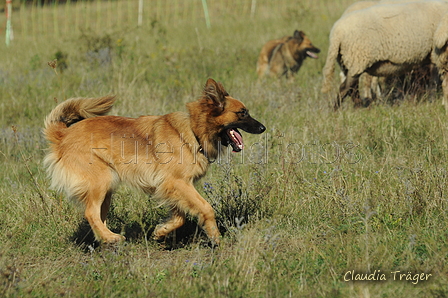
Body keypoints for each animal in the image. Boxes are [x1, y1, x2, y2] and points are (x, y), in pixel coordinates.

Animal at [43, 78, 264, 244]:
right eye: (242, 113)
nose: (263, 128)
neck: (193, 131)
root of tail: (63, 135)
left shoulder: (172, 187)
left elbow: (180, 217)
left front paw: (162, 231)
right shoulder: (178, 182)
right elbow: (206, 208)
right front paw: (216, 237)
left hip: (107, 189)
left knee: (97, 217)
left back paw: (105, 239)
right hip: (102, 181)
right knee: (90, 213)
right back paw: (112, 238)